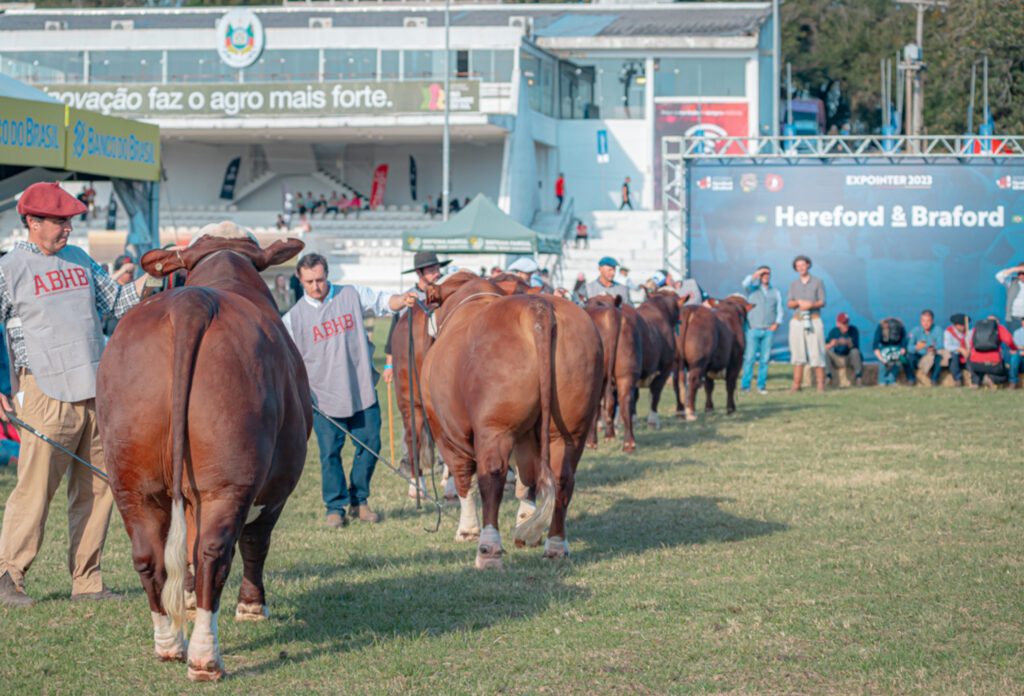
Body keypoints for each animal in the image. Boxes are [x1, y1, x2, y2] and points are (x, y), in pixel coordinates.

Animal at [97, 225, 309, 683]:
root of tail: (192, 303)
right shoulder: (275, 487)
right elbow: (256, 539)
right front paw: (251, 606)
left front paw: (190, 599)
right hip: (230, 481)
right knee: (215, 552)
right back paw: (204, 657)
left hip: (130, 479)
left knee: (149, 556)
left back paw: (169, 645)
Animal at [419, 268, 602, 569]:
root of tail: (537, 308)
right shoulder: (527, 436)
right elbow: (527, 478)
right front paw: (527, 522)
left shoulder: (445, 433)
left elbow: (463, 479)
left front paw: (467, 529)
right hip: (571, 427)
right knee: (562, 477)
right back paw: (555, 544)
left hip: (495, 427)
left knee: (491, 475)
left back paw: (488, 549)